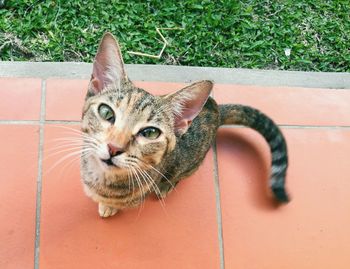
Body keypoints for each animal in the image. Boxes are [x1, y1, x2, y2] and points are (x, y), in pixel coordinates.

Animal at [80, 32, 288, 217]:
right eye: (106, 112)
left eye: (150, 133)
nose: (114, 148)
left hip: (191, 164)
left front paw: (108, 206)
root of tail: (215, 108)